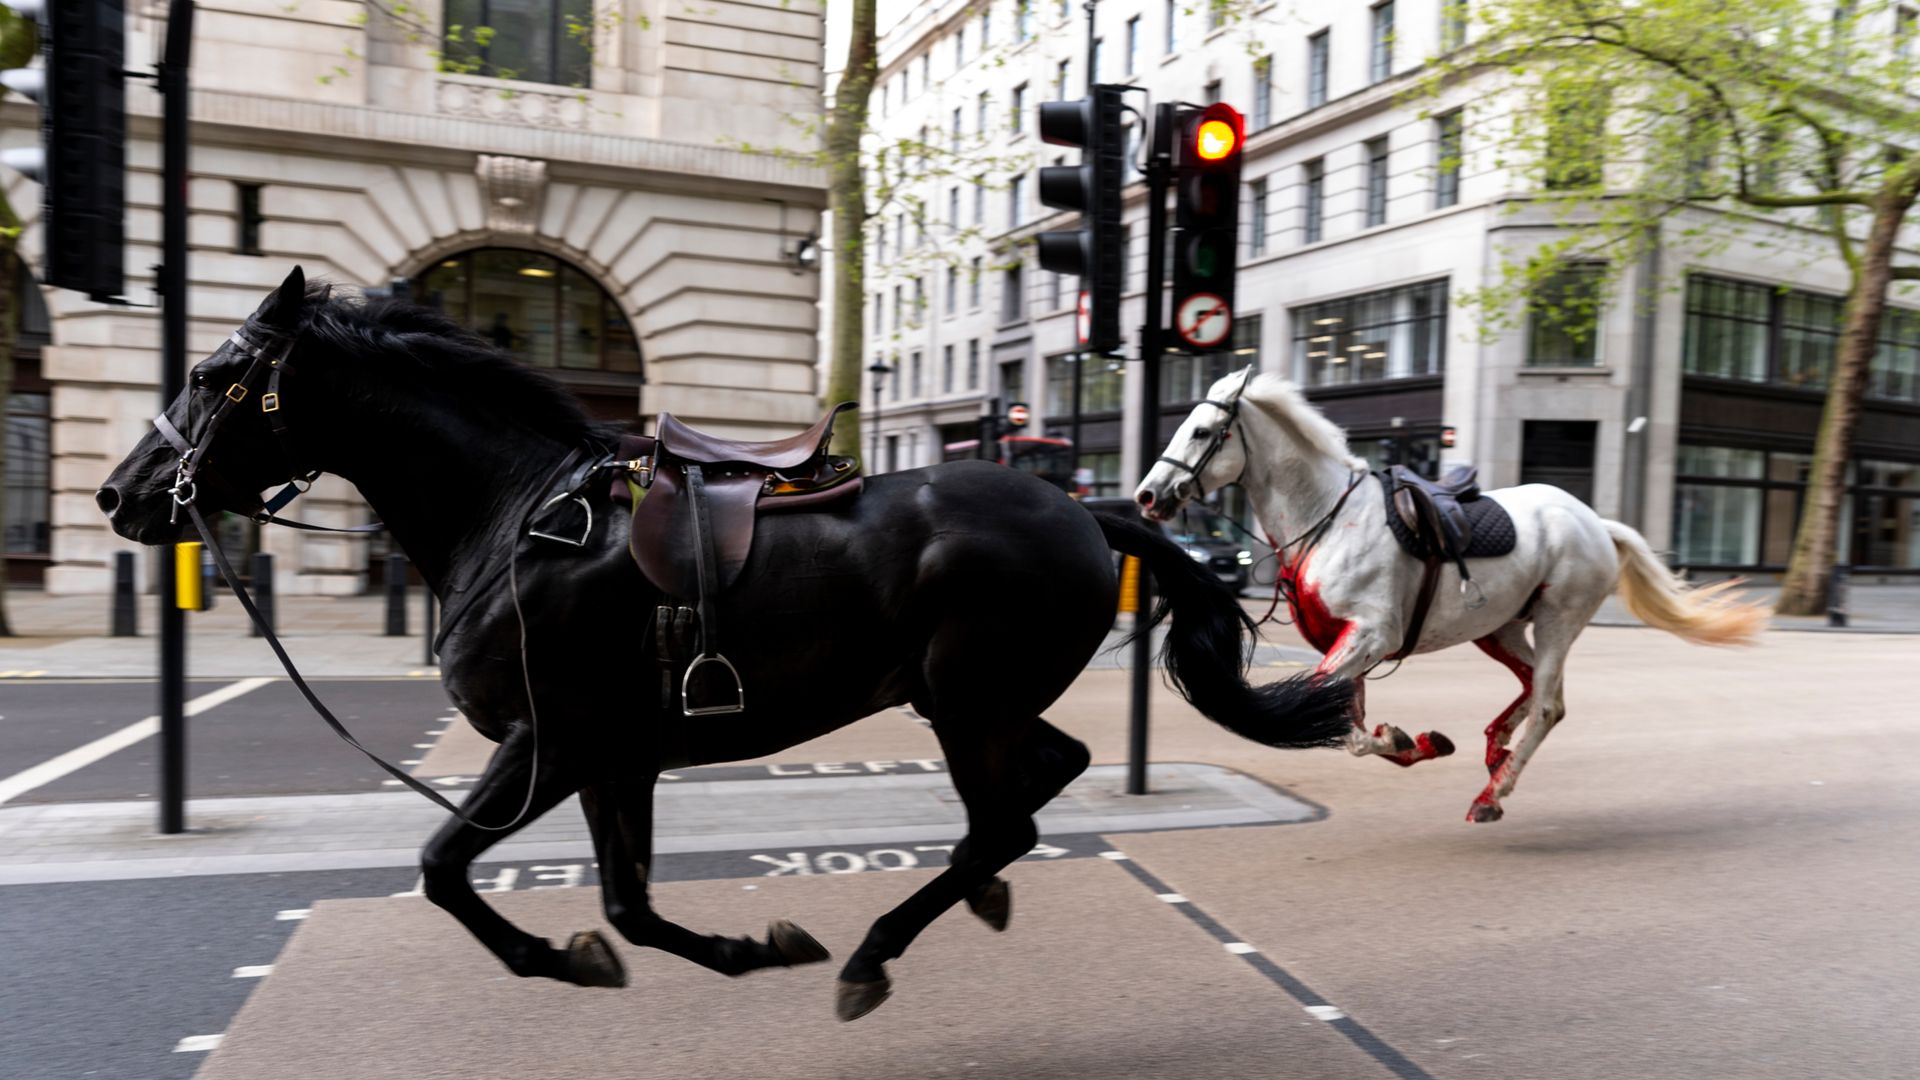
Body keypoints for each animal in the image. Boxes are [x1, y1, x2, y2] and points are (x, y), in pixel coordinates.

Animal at [97, 267, 1355, 1021]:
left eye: (211, 375)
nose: (120, 495)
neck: (515, 518)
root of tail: (1085, 511)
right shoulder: (615, 758)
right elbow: (627, 905)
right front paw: (737, 949)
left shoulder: (550, 743)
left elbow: (447, 867)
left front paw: (555, 958)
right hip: (971, 699)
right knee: (1044, 781)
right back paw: (969, 899)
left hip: (964, 698)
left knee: (1006, 815)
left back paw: (876, 951)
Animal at [1134, 369, 1767, 823]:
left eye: (1200, 431)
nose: (1147, 495)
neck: (1328, 518)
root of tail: (1593, 520)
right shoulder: (1348, 641)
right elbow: (1347, 722)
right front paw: (1413, 741)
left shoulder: (1371, 634)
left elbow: (1339, 721)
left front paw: (1400, 738)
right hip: (1501, 627)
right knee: (1536, 686)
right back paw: (1496, 751)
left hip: (1559, 619)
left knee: (1548, 704)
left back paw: (1493, 793)